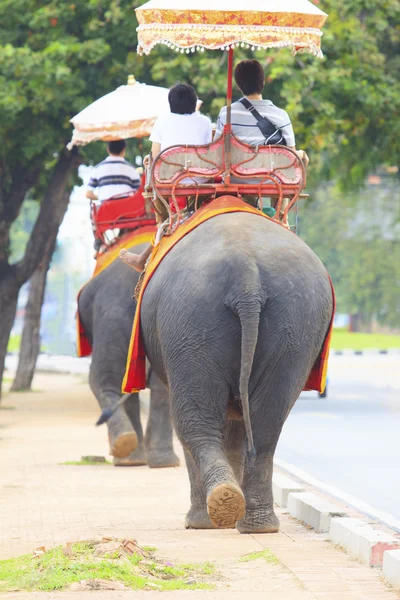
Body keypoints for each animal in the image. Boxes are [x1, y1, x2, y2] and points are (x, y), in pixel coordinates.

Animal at [139, 210, 332, 536]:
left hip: (190, 323)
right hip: (295, 327)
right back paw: (255, 523)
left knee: (194, 423)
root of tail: (247, 278)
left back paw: (213, 512)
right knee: (267, 422)